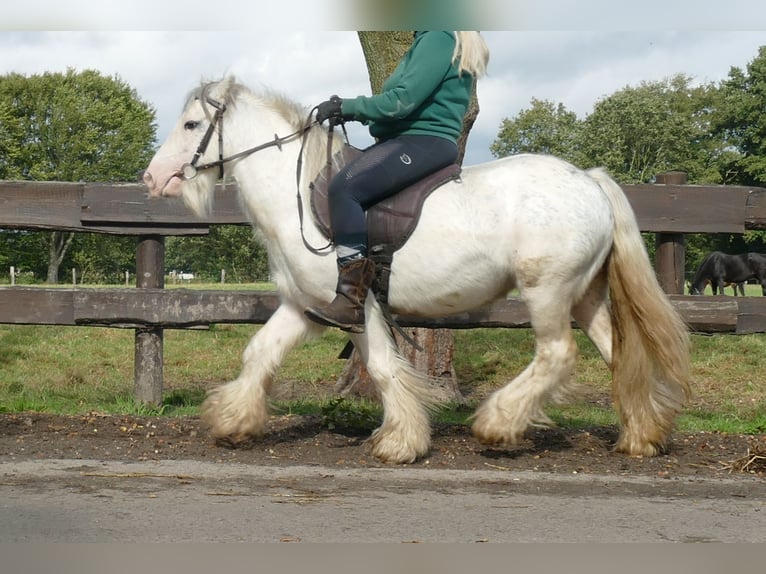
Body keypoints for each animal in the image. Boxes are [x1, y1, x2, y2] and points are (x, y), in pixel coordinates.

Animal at [141, 76, 692, 466]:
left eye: (191, 126)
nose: (152, 178)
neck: (295, 193)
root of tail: (590, 180)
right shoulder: (306, 306)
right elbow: (258, 353)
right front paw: (232, 421)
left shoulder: (356, 304)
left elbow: (384, 367)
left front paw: (400, 443)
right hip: (584, 295)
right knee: (618, 354)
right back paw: (642, 437)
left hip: (548, 291)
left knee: (556, 355)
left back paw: (498, 424)